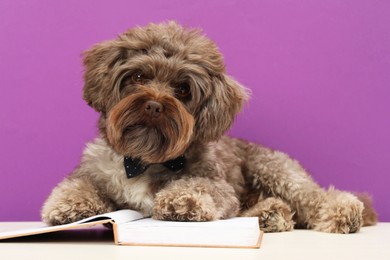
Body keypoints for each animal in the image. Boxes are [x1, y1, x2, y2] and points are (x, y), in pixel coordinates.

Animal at [41, 21, 376, 234]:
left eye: (183, 89)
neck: (145, 159)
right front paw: (69, 204)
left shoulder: (219, 186)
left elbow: (198, 187)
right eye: (138, 77)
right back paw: (270, 214)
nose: (154, 105)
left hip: (273, 168)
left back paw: (343, 213)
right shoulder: (92, 171)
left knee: (311, 196)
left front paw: (182, 200)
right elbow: (77, 185)